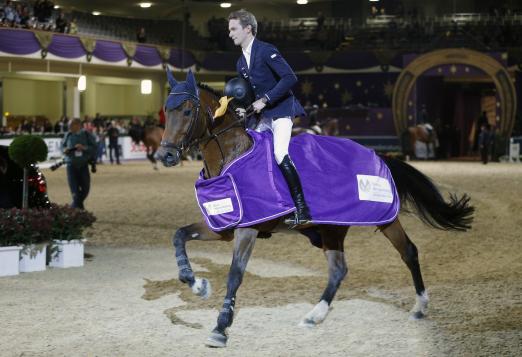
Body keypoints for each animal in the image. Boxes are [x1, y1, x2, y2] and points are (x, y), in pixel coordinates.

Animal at [153, 70, 472, 348]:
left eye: (187, 111)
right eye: (166, 110)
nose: (165, 155)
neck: (231, 156)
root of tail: (381, 156)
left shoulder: (248, 228)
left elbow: (235, 274)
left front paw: (220, 327)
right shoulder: (225, 227)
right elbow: (179, 236)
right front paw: (196, 284)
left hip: (384, 218)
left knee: (409, 252)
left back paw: (420, 306)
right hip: (331, 228)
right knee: (339, 270)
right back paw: (314, 315)